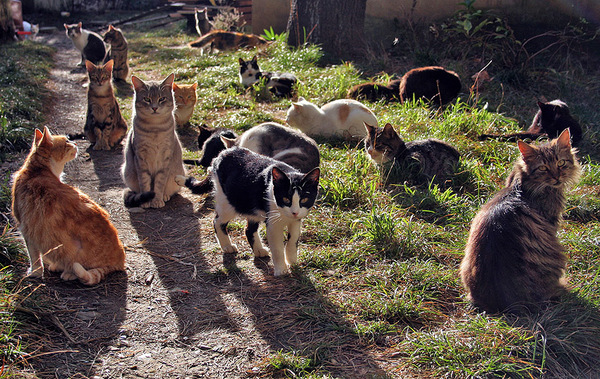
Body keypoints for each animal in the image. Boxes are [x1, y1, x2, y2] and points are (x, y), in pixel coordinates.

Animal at [11, 127, 125, 284]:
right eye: (66, 141)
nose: (75, 143)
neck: (36, 171)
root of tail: (121, 259)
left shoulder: (26, 229)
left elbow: (34, 257)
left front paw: (34, 273)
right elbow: (36, 256)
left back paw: (67, 273)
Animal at [121, 72, 185, 209]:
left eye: (161, 99)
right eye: (147, 99)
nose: (154, 108)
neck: (155, 128)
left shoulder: (165, 157)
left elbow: (159, 183)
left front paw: (157, 200)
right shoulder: (140, 157)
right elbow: (144, 182)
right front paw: (146, 200)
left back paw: (165, 196)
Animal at [210, 147, 322, 278]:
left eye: (304, 199)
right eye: (286, 199)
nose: (294, 212)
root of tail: (224, 152)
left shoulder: (296, 221)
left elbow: (293, 239)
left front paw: (292, 261)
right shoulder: (273, 224)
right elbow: (277, 248)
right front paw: (281, 270)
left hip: (251, 207)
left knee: (249, 229)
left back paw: (259, 250)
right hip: (228, 202)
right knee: (217, 221)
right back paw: (227, 246)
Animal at [460, 127, 580, 314]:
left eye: (561, 163)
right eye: (543, 168)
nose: (557, 177)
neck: (521, 185)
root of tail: (499, 305)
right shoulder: (551, 222)